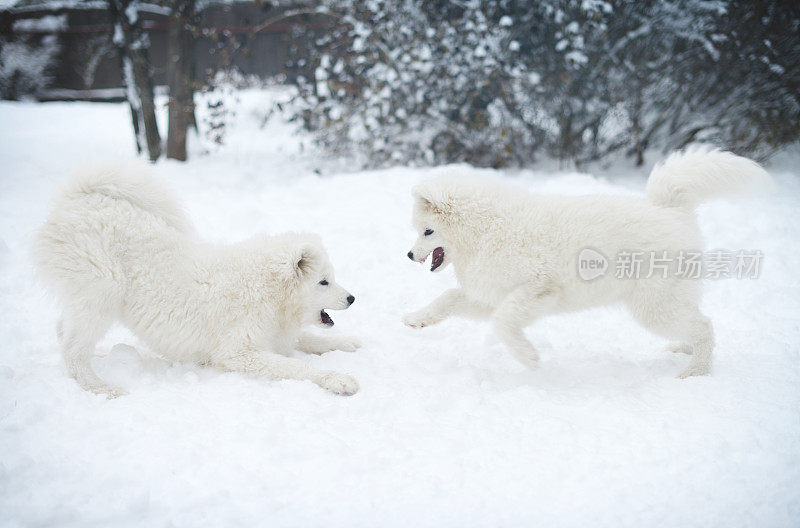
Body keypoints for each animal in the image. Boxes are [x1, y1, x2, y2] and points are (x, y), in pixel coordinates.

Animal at [32, 168, 362, 396]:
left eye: (332, 279)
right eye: (323, 282)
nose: (352, 299)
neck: (267, 292)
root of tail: (80, 196)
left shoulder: (277, 336)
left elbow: (310, 339)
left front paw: (347, 342)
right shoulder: (239, 352)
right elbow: (297, 365)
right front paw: (339, 380)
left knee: (64, 331)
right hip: (102, 291)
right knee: (73, 347)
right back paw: (102, 388)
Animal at [404, 148, 772, 380]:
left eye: (427, 231)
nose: (408, 255)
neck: (488, 230)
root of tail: (669, 209)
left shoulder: (537, 289)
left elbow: (503, 322)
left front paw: (529, 358)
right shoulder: (491, 295)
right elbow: (449, 299)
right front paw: (416, 319)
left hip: (652, 305)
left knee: (705, 326)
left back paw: (697, 372)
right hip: (669, 299)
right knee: (696, 321)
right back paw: (684, 351)